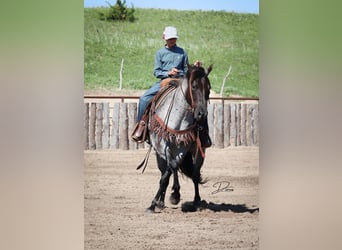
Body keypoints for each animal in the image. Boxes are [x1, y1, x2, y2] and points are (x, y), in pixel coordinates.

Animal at [143, 63, 212, 212]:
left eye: (208, 88)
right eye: (193, 86)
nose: (201, 114)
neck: (178, 117)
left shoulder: (183, 147)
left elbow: (173, 168)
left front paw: (171, 196)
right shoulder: (163, 145)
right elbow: (169, 170)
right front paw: (159, 201)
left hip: (199, 152)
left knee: (195, 173)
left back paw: (196, 201)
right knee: (167, 170)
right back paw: (162, 201)